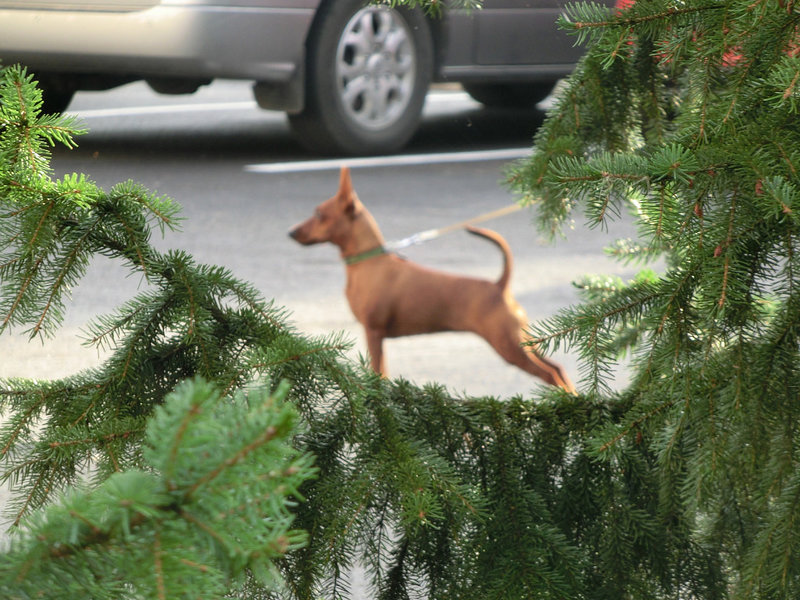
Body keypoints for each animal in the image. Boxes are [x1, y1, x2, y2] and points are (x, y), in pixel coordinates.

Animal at [288, 166, 576, 392]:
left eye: (318, 214)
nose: (290, 232)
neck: (368, 262)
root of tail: (500, 287)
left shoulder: (373, 332)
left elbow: (378, 372)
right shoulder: (377, 336)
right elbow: (383, 373)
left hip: (509, 346)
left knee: (550, 374)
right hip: (525, 341)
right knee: (559, 369)